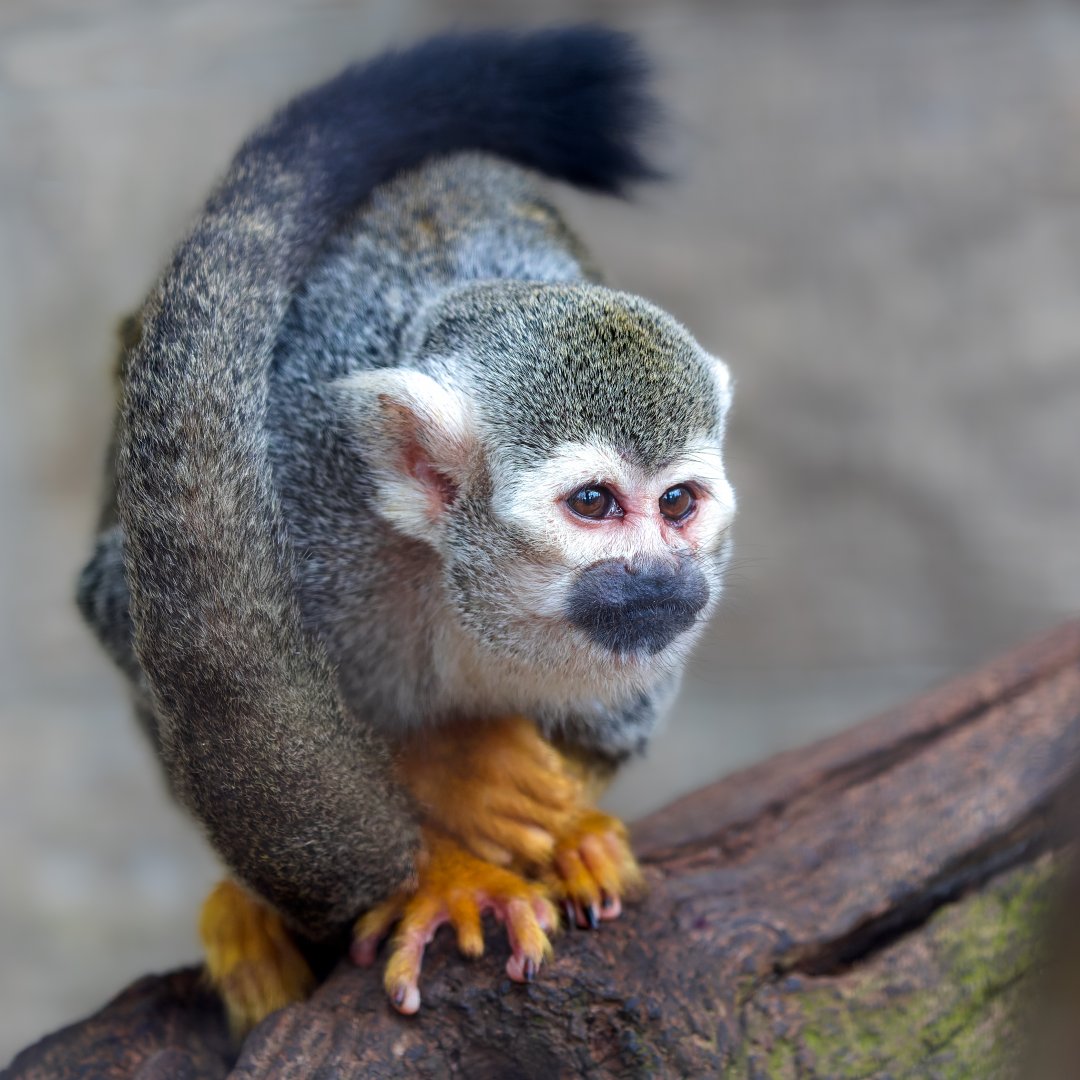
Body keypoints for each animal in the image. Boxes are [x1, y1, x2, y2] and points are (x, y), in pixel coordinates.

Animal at [76, 27, 736, 1027]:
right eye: (593, 504)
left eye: (678, 505)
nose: (664, 578)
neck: (457, 580)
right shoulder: (301, 495)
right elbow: (138, 619)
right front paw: (453, 821)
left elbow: (615, 724)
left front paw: (569, 831)